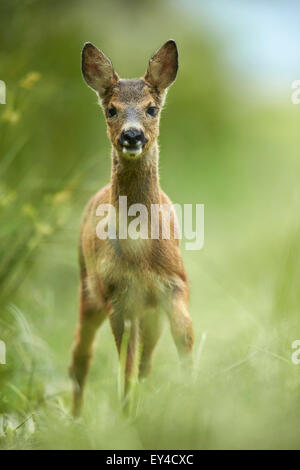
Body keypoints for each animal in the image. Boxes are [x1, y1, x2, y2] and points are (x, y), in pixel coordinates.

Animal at [69, 39, 193, 414]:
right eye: (111, 109)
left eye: (152, 108)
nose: (132, 135)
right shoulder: (118, 295)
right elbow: (124, 366)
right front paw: (127, 414)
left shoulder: (174, 285)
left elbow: (184, 341)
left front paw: (195, 397)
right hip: (89, 287)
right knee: (81, 355)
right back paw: (75, 419)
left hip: (147, 311)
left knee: (145, 360)